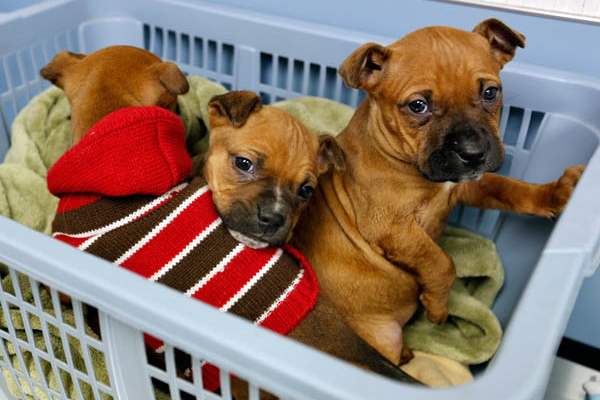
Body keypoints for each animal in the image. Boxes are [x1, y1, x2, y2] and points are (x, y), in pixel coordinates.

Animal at [292, 20, 584, 368]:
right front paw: (437, 308)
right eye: (418, 106)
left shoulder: (466, 184)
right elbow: (441, 262)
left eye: (490, 92)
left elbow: (508, 189)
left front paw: (555, 193)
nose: (473, 152)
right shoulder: (393, 229)